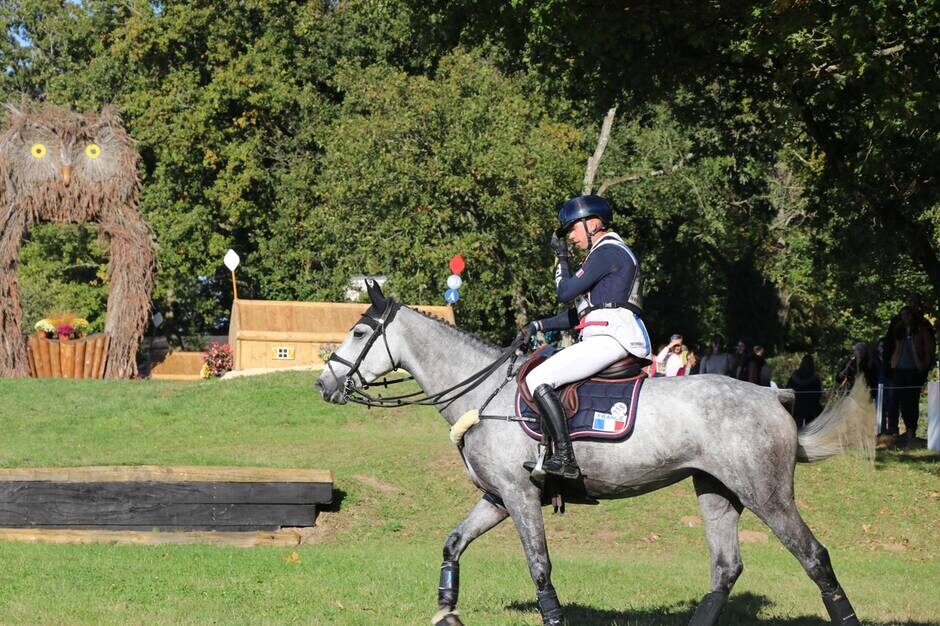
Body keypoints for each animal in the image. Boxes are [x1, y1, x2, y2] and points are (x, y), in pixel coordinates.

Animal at [320, 284, 872, 624]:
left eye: (360, 332)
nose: (322, 384)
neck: (484, 394)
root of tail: (773, 397)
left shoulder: (520, 496)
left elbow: (539, 566)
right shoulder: (498, 498)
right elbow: (453, 544)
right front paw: (446, 609)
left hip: (767, 495)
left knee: (814, 557)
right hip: (716, 491)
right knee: (726, 568)